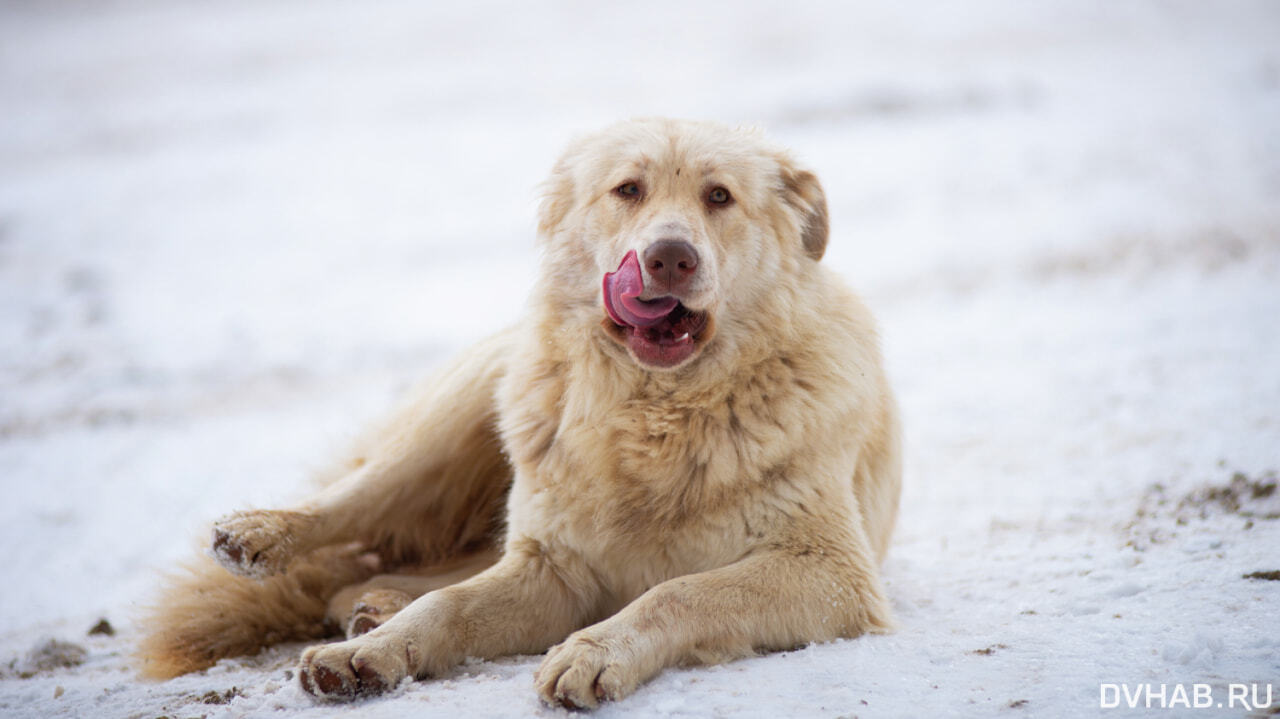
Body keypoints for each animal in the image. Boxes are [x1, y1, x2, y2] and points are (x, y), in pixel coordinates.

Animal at [137, 117, 901, 706]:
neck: (655, 415)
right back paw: (267, 537)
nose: (669, 258)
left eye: (720, 196)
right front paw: (379, 652)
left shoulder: (831, 573)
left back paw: (370, 601)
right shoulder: (553, 570)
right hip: (460, 415)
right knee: (361, 501)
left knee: (416, 562)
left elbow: (675, 591)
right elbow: (449, 605)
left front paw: (595, 650)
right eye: (628, 190)